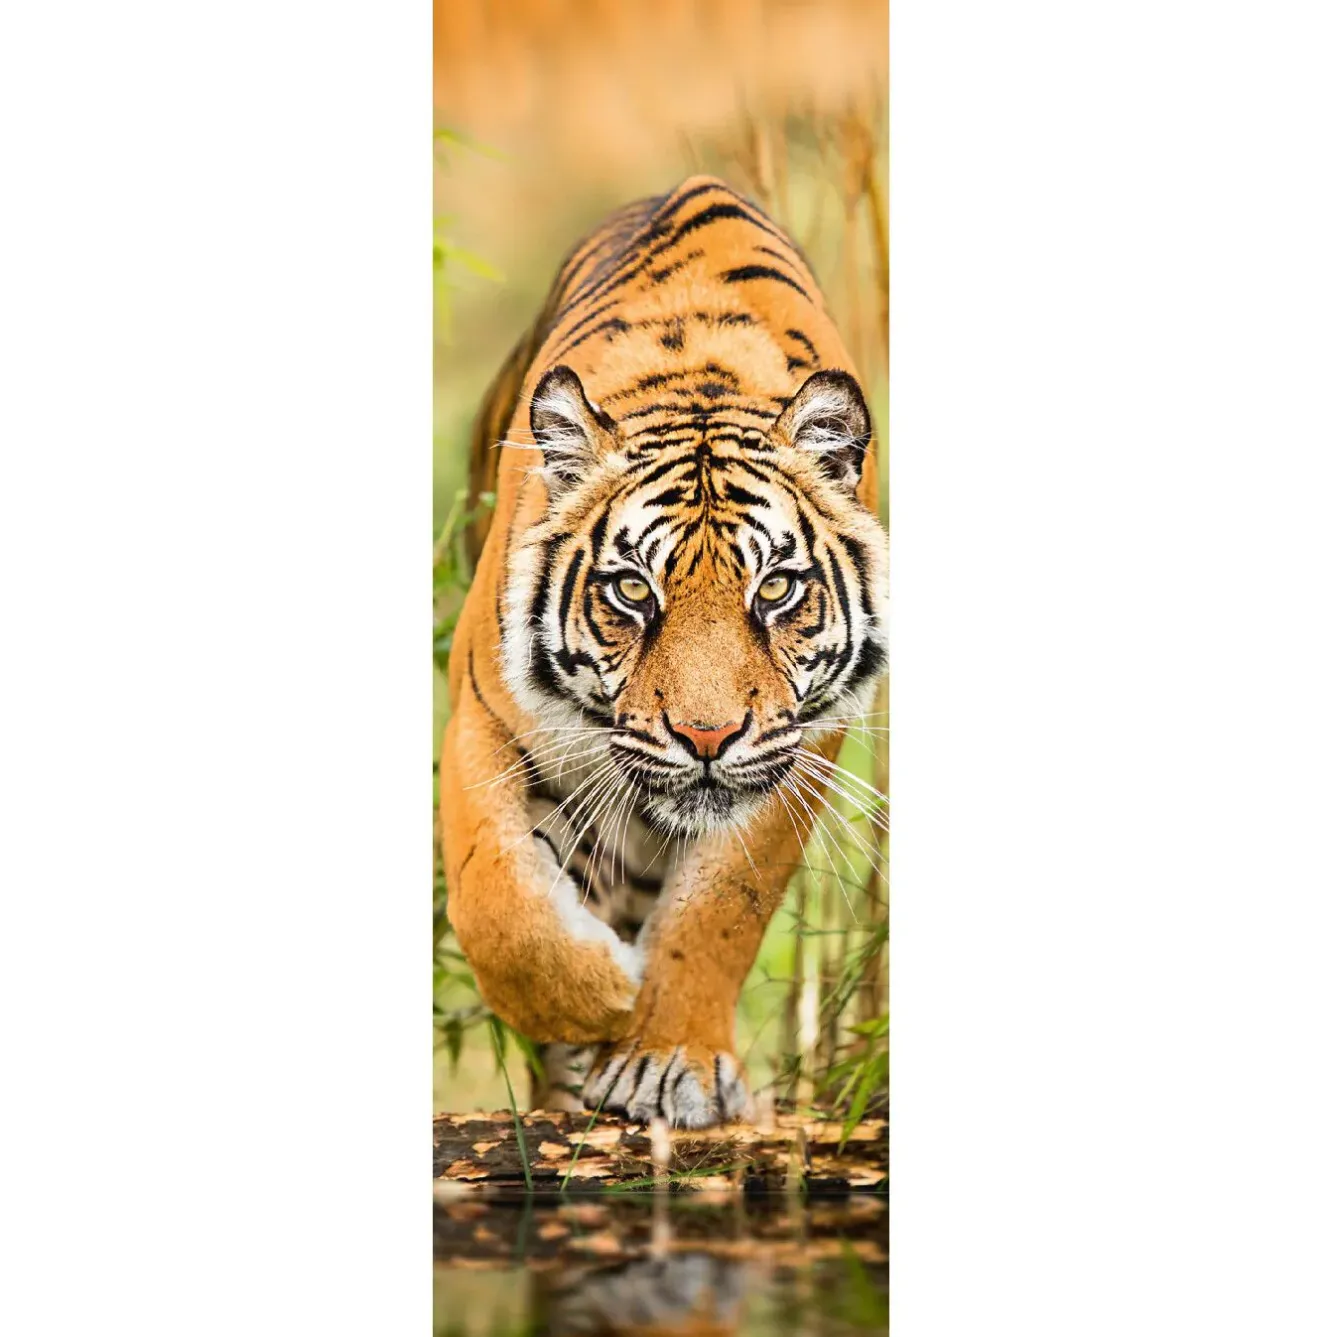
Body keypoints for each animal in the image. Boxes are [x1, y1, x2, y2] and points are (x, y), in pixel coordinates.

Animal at [440, 175, 887, 1129]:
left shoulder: (795, 751)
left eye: (775, 589)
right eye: (632, 591)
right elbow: (496, 896)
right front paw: (596, 996)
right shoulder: (480, 719)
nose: (706, 737)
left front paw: (661, 1055)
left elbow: (718, 910)